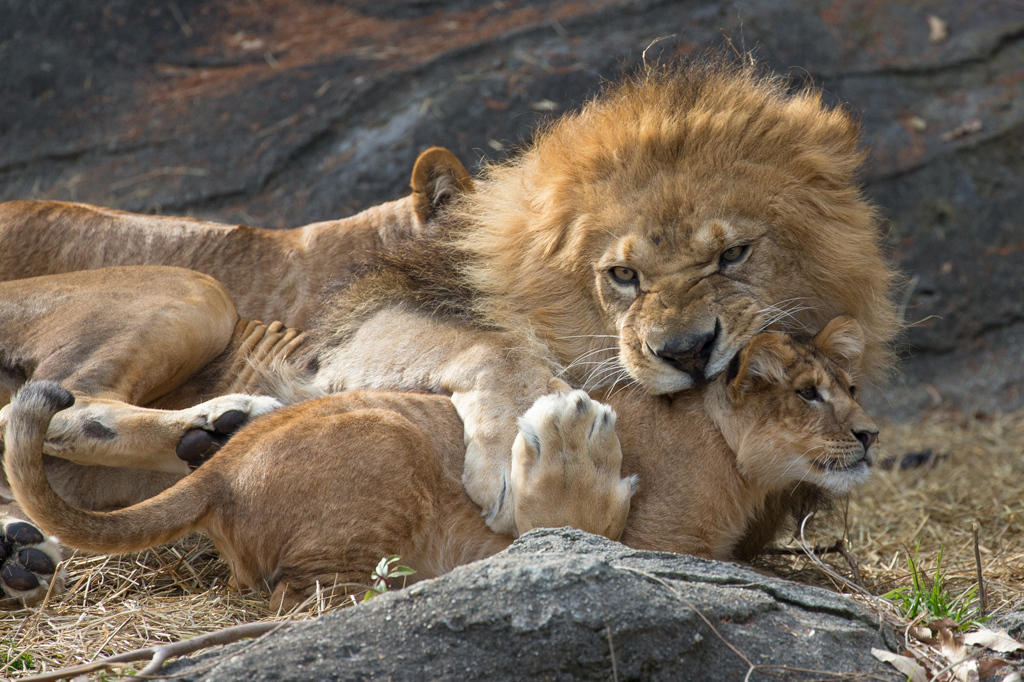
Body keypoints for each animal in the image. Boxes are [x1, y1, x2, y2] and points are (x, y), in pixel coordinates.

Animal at [4, 321, 876, 606]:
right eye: (809, 394)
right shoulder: (658, 542)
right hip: (384, 449)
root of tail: (216, 472)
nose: (869, 435)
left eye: (854, 388)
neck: (735, 459)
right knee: (303, 594)